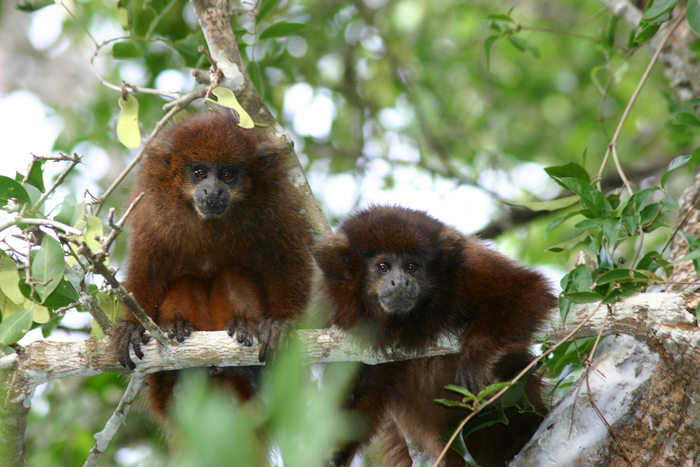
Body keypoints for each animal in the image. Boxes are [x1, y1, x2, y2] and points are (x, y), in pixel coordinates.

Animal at [111, 110, 312, 420]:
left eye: (227, 175)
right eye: (200, 173)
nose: (212, 192)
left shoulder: (277, 203)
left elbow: (286, 259)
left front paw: (279, 323)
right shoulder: (151, 209)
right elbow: (148, 268)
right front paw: (132, 327)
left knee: (232, 275)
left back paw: (245, 338)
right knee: (187, 280)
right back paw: (179, 338)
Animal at [314, 207, 556, 467]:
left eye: (412, 267)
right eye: (383, 267)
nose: (401, 281)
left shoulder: (465, 271)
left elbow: (530, 290)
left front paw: (476, 358)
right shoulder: (340, 317)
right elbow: (361, 393)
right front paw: (336, 450)